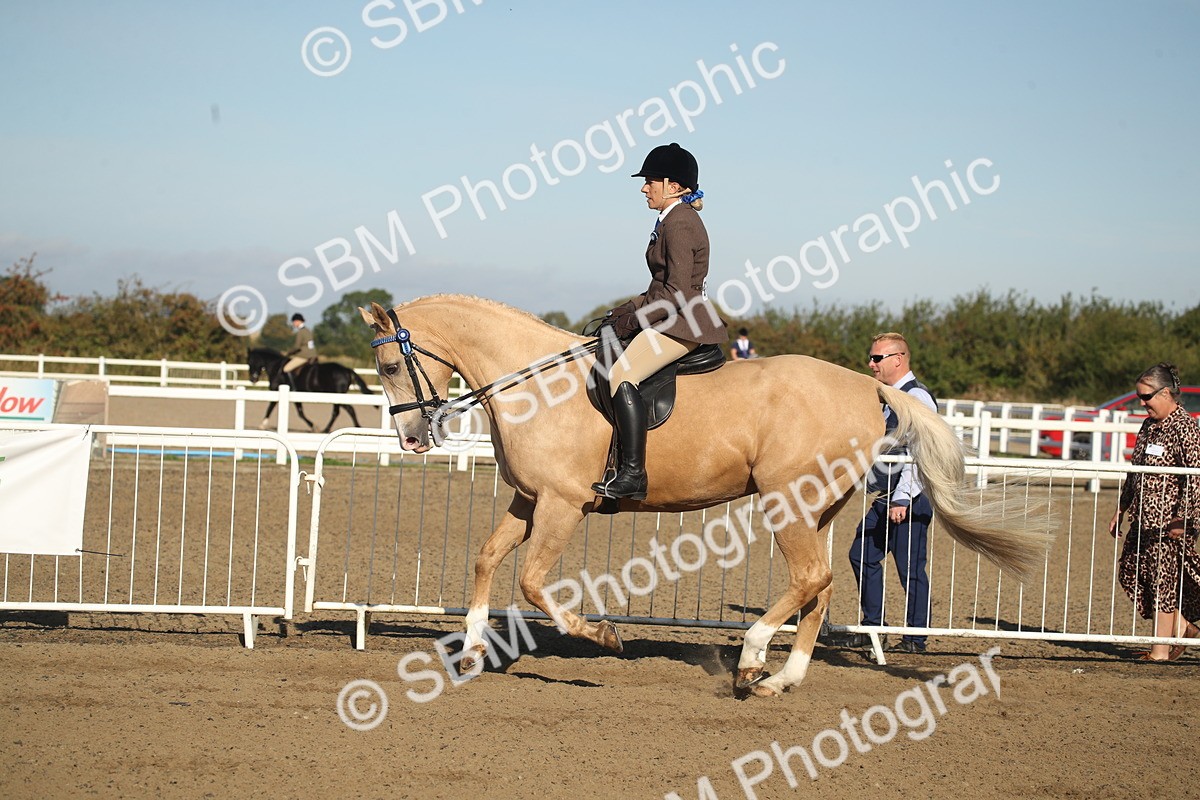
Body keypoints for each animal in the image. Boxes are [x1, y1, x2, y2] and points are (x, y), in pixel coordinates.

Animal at [359, 295, 1052, 697]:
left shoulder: (561, 503)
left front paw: (604, 637)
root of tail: (869, 386)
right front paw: (474, 648)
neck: (534, 383)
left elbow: (531, 582)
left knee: (808, 578)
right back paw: (783, 678)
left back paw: (751, 659)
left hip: (787, 501)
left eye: (391, 367)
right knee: (823, 586)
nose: (412, 438)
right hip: (820, 507)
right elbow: (485, 558)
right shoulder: (530, 500)